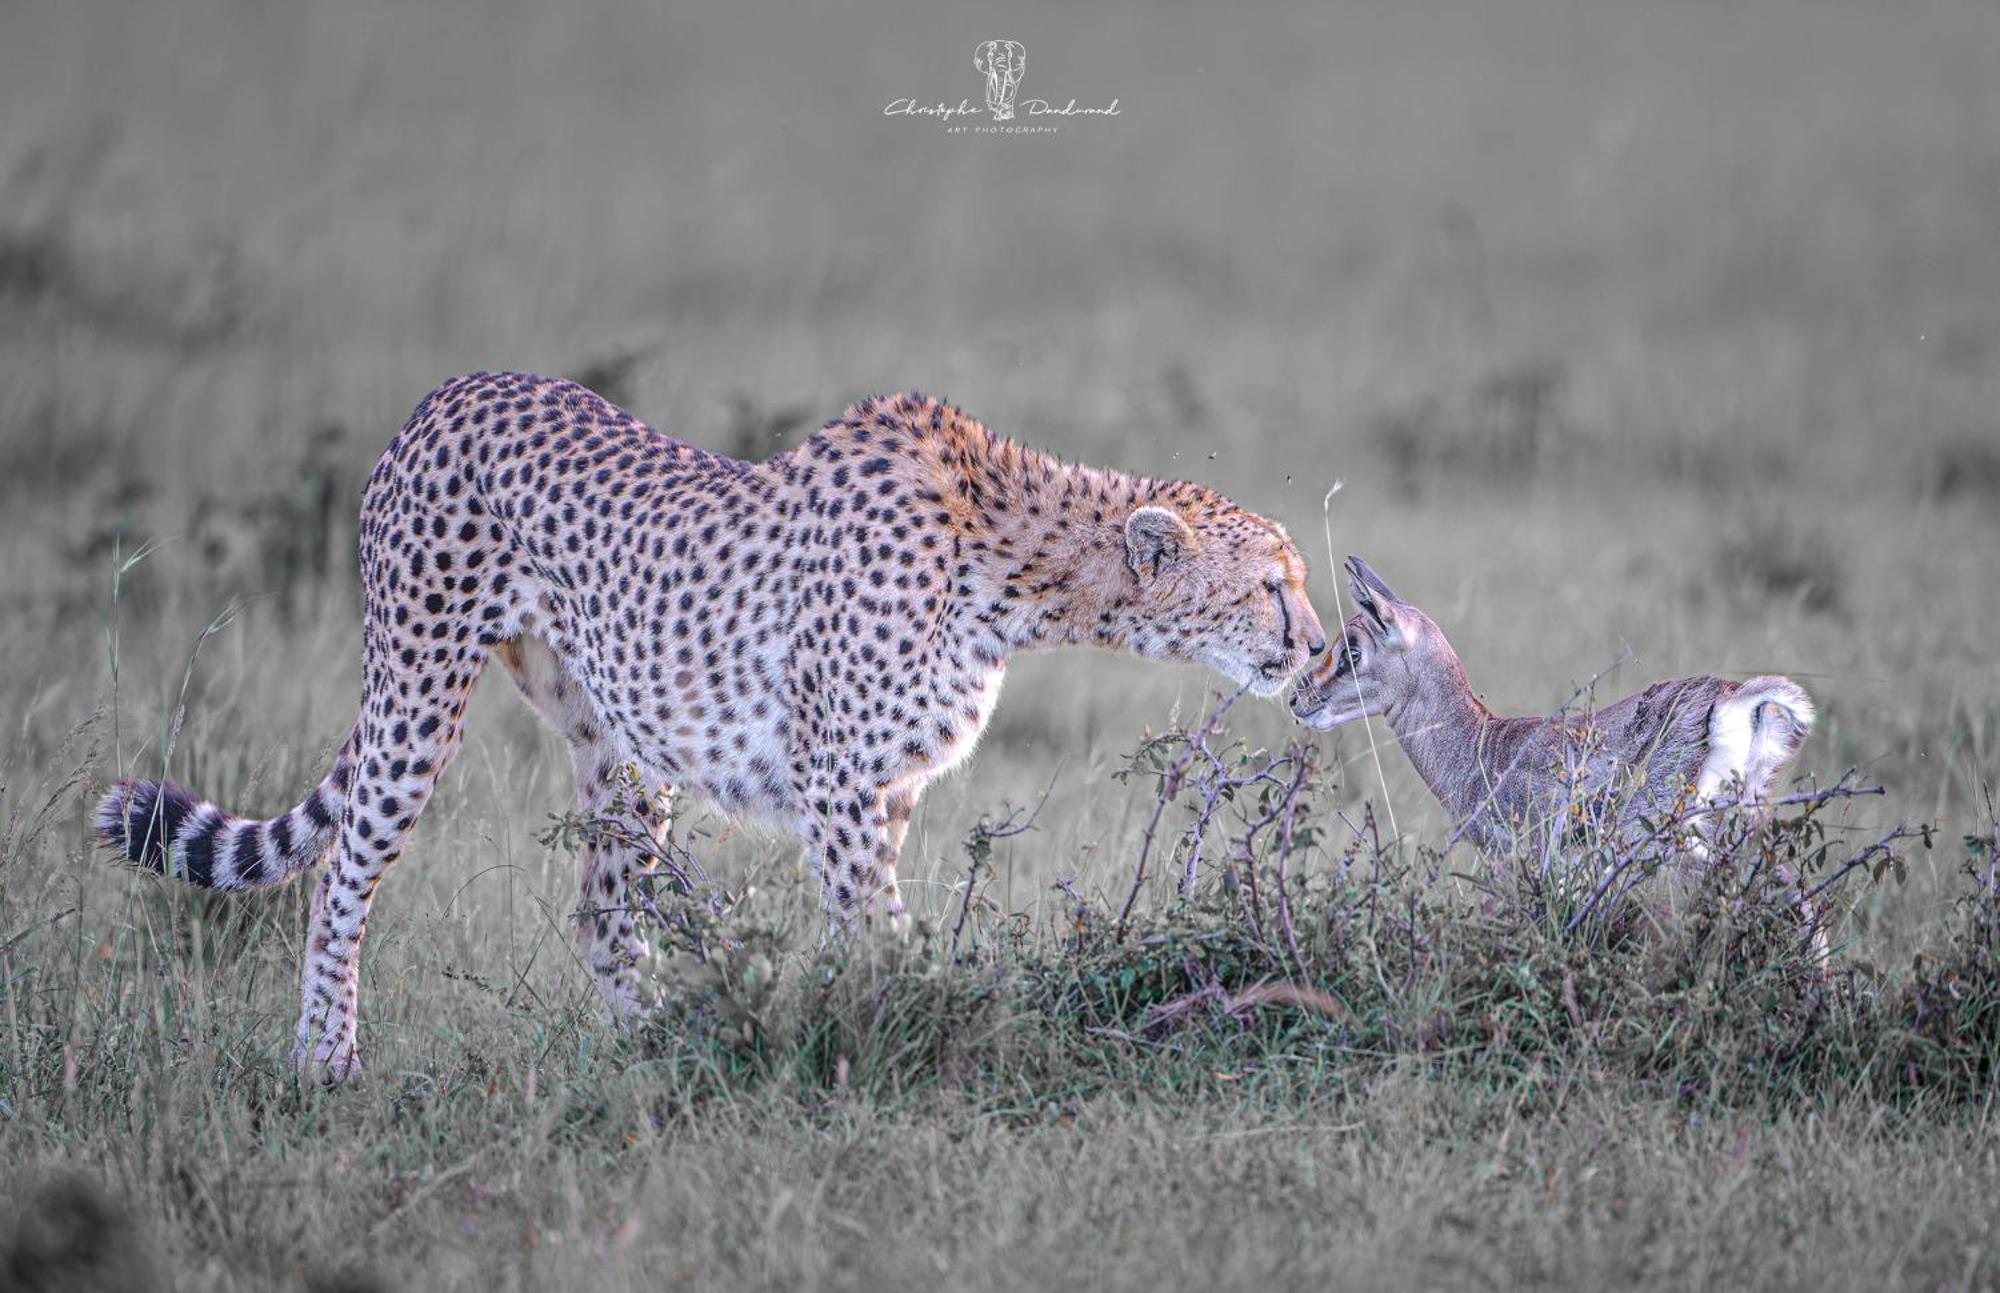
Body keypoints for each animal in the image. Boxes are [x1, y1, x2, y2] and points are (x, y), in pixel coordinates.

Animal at [94, 374, 1328, 1080]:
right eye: (1271, 585)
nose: (1317, 649)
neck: (1004, 553)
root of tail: (450, 388)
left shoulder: (884, 791)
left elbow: (865, 933)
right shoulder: (842, 788)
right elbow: (875, 936)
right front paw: (910, 1051)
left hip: (623, 747)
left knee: (599, 910)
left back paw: (660, 1049)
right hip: (416, 685)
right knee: (343, 878)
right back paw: (327, 1063)